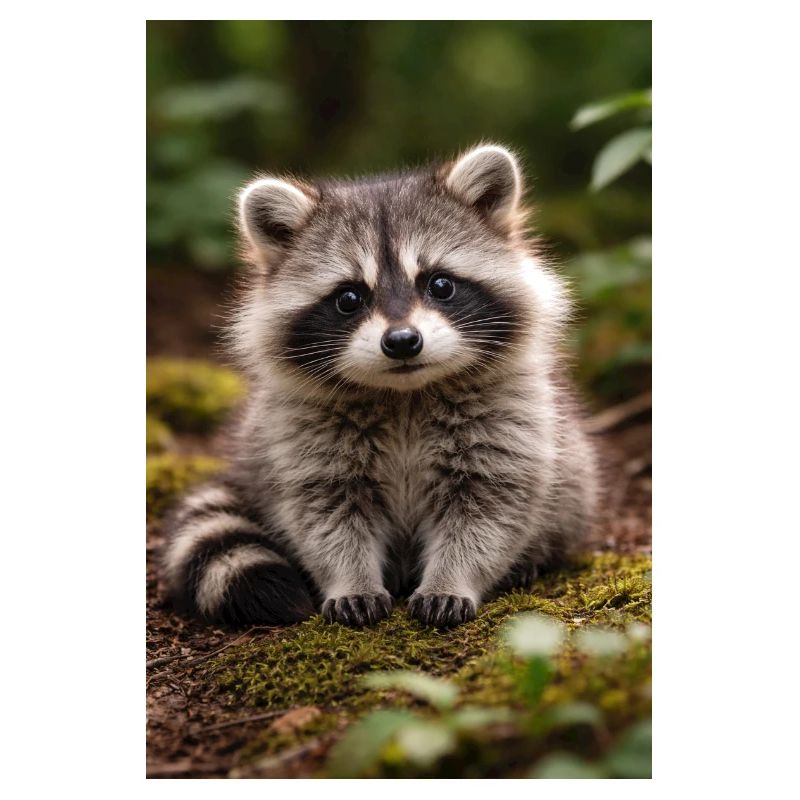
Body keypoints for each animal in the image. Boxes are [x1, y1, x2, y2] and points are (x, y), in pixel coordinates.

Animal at [162, 143, 598, 629]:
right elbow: (325, 516)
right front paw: (350, 580)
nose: (403, 341)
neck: (405, 393)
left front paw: (452, 578)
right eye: (350, 298)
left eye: (440, 284)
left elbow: (489, 512)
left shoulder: (509, 417)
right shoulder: (304, 435)